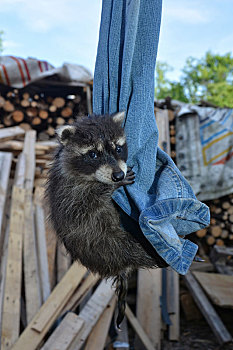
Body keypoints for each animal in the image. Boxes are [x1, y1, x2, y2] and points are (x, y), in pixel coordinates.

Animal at [46, 111, 166, 326]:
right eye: (93, 154)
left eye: (118, 148)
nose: (118, 176)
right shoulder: (69, 195)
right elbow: (86, 205)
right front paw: (109, 187)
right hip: (105, 244)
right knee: (132, 249)